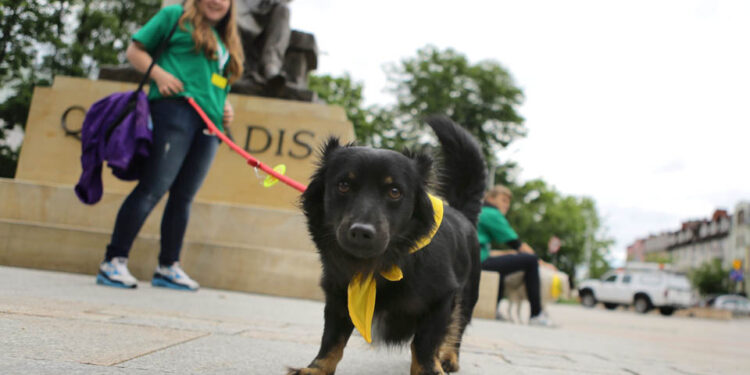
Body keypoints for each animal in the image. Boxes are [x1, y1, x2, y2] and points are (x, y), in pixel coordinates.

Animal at [294, 116, 488, 374]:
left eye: (395, 191)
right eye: (343, 185)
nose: (361, 232)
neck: (383, 262)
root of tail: (462, 213)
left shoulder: (443, 299)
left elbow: (425, 343)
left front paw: (428, 369)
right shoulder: (338, 296)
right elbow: (332, 338)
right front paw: (316, 368)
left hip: (467, 296)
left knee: (457, 327)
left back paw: (448, 358)